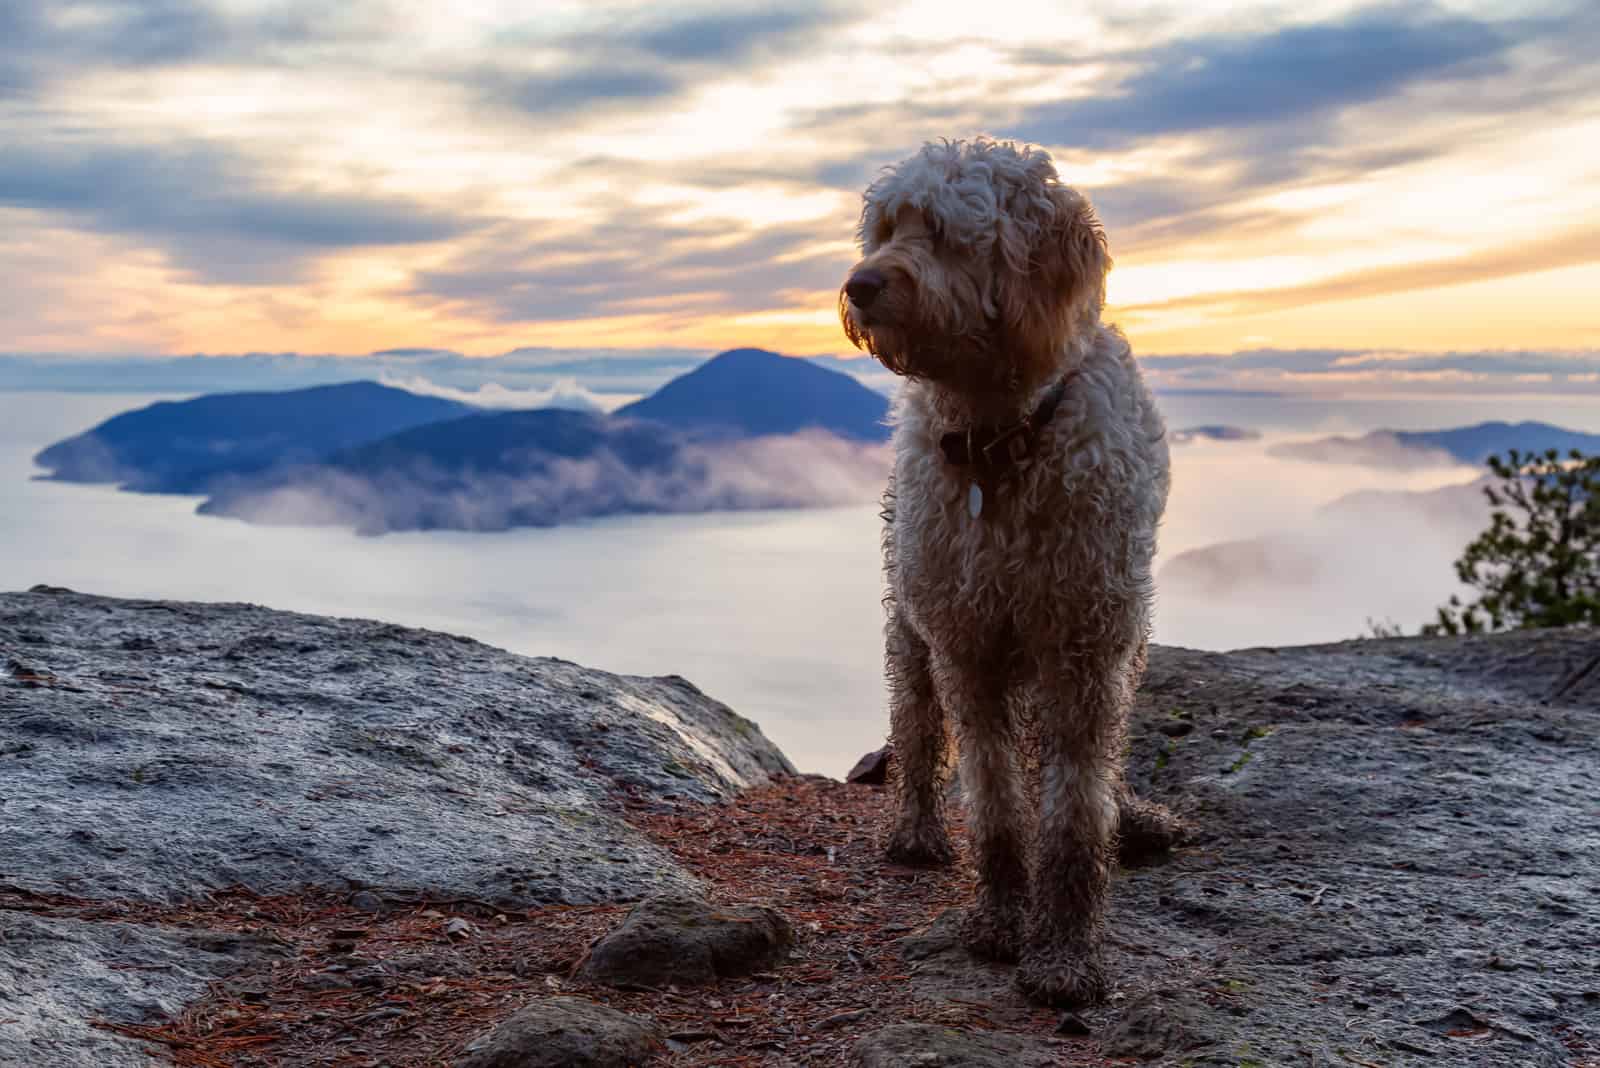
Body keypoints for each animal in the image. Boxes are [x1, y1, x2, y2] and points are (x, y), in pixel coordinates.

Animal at [838, 137, 1177, 1004]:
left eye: (944, 231)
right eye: (885, 226)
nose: (860, 284)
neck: (1003, 439)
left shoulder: (1088, 649)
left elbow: (1075, 813)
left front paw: (1063, 951)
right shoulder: (968, 648)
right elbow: (993, 801)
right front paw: (998, 918)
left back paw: (1132, 814)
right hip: (910, 622)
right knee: (916, 727)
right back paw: (916, 827)